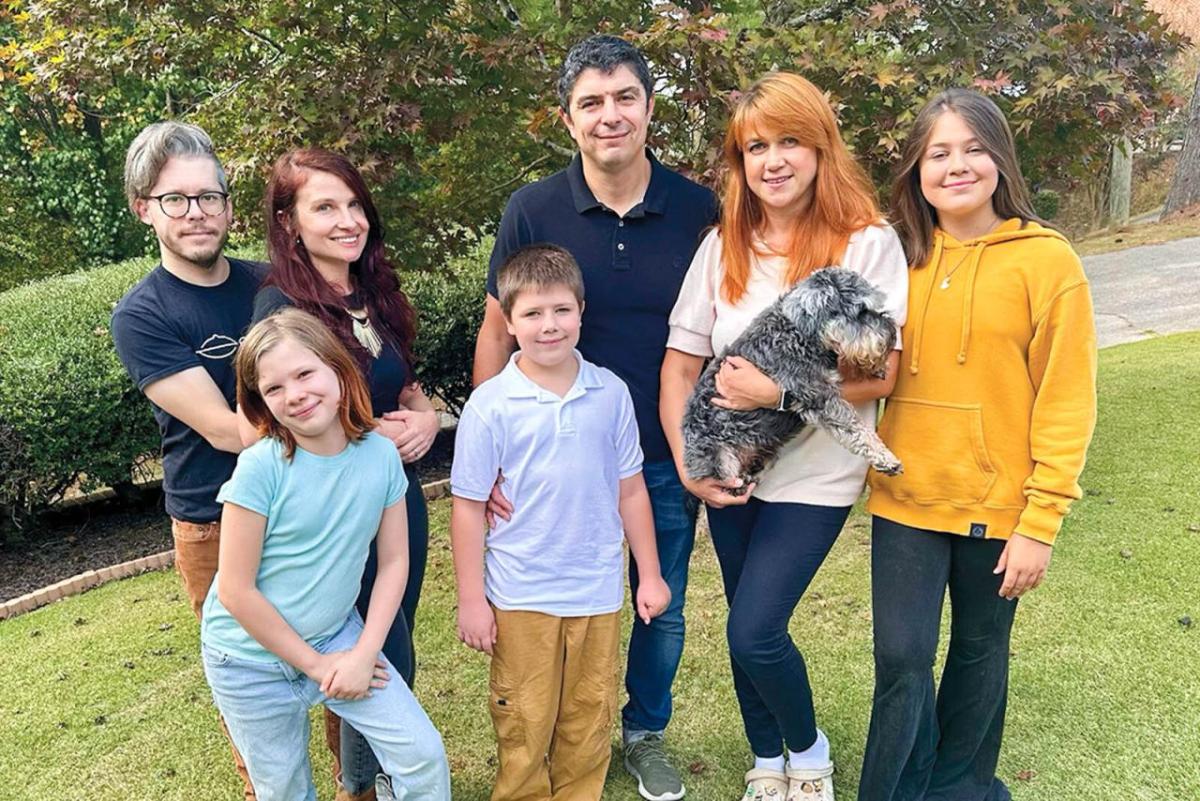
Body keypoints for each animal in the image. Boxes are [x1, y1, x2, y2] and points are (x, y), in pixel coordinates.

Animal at [686, 267, 902, 494]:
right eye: (861, 311)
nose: (891, 331)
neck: (798, 334)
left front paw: (876, 367)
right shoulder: (821, 398)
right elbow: (856, 428)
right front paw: (886, 458)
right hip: (721, 459)